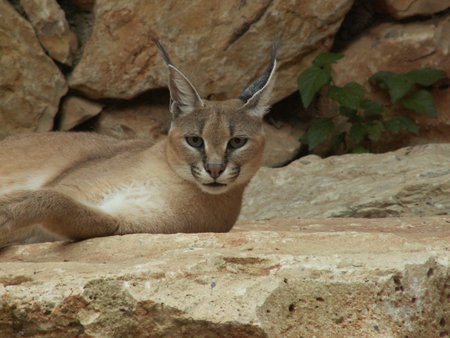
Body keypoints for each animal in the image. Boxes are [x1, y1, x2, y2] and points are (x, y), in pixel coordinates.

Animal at [0, 41, 278, 247]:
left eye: (237, 142)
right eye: (195, 140)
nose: (215, 169)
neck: (172, 181)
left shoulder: (120, 222)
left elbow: (56, 201)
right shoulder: (71, 187)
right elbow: (47, 194)